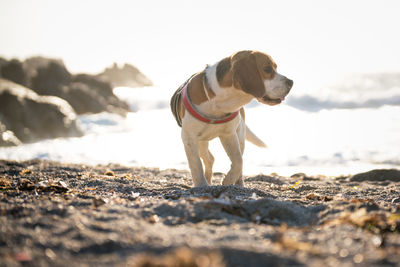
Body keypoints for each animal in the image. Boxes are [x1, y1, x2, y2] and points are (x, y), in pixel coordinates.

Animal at [170, 50, 292, 188]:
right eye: (267, 69)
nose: (291, 82)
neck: (218, 103)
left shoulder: (229, 134)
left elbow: (238, 161)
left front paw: (228, 180)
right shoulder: (189, 138)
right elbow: (196, 164)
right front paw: (201, 184)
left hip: (239, 136)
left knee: (222, 159)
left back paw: (239, 184)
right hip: (201, 142)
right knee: (208, 159)